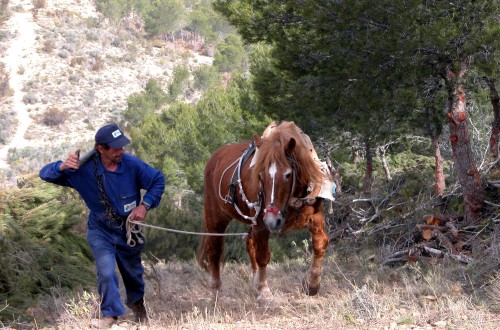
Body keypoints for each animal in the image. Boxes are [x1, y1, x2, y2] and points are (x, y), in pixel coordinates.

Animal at [196, 122, 332, 302]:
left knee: (249, 243)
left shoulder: (315, 216)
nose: (272, 221)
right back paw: (215, 287)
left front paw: (312, 284)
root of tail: (215, 157)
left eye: (288, 174)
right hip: (216, 215)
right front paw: (263, 290)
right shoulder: (261, 223)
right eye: (260, 174)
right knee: (215, 248)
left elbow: (320, 243)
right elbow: (262, 255)